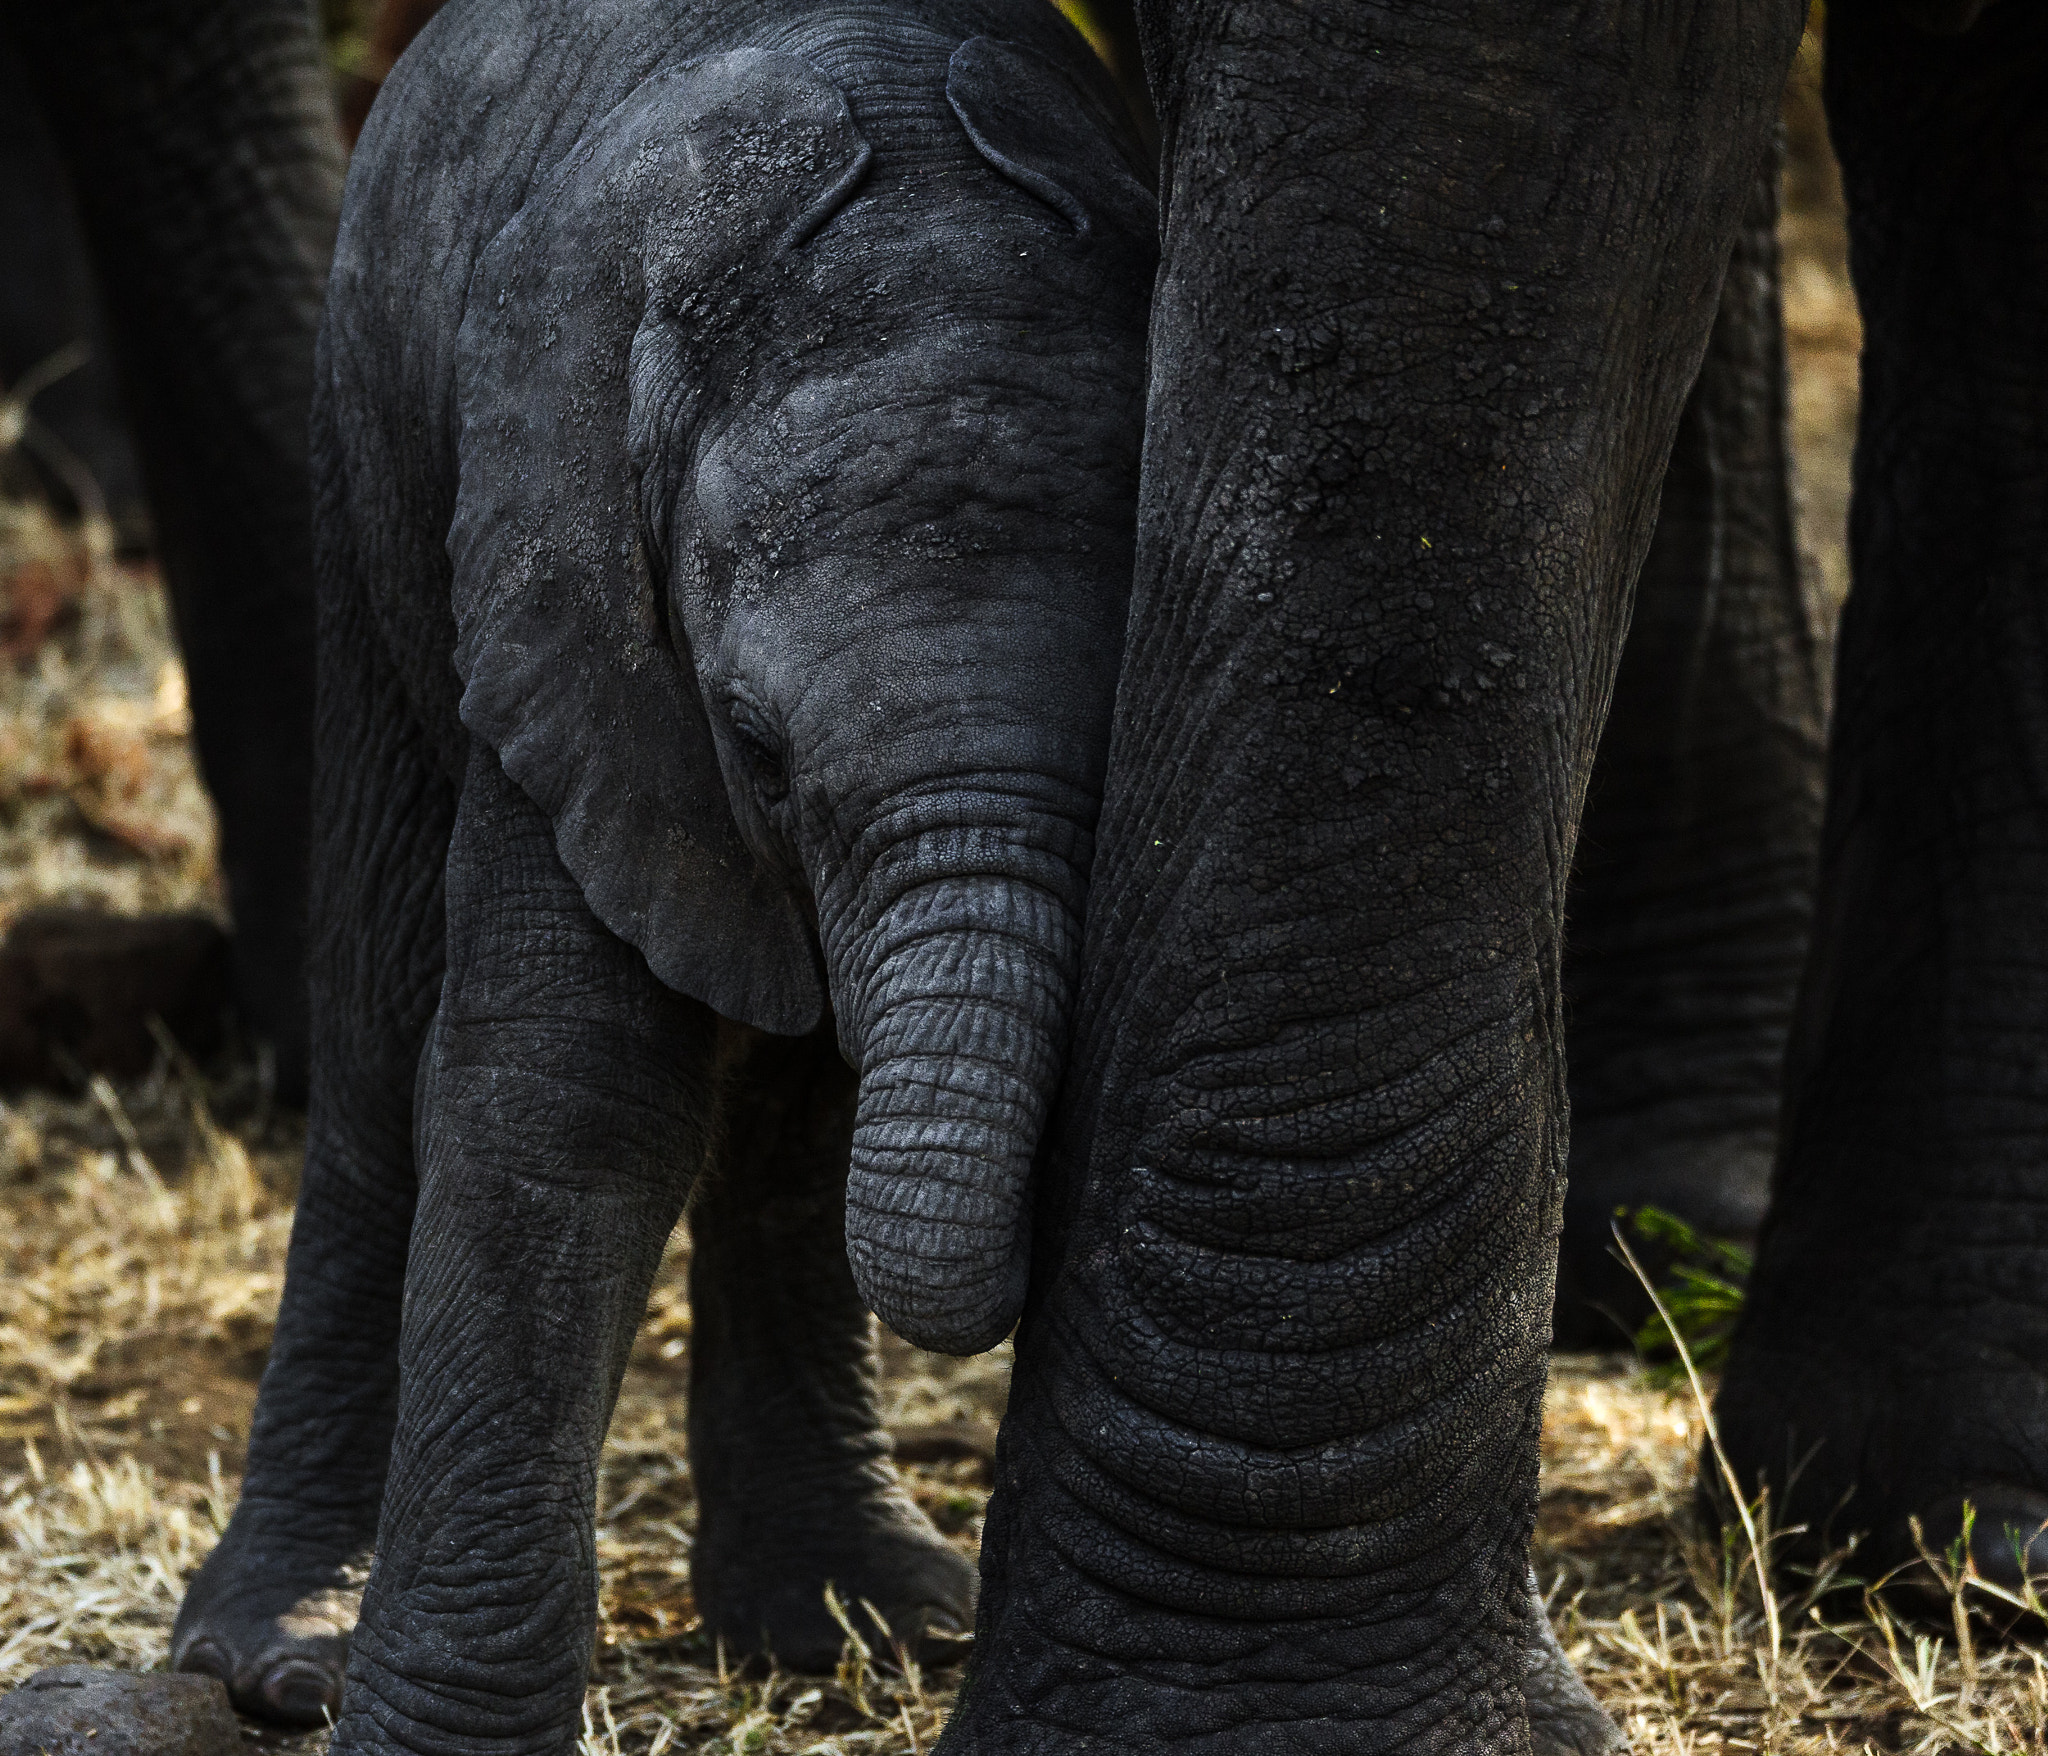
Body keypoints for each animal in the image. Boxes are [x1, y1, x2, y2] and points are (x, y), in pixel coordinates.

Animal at [169, 0, 1155, 1733]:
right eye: (753, 746)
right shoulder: (561, 571)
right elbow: (566, 1090)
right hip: (369, 444)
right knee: (382, 1026)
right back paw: (276, 1656)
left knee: (790, 1119)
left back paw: (855, 1623)